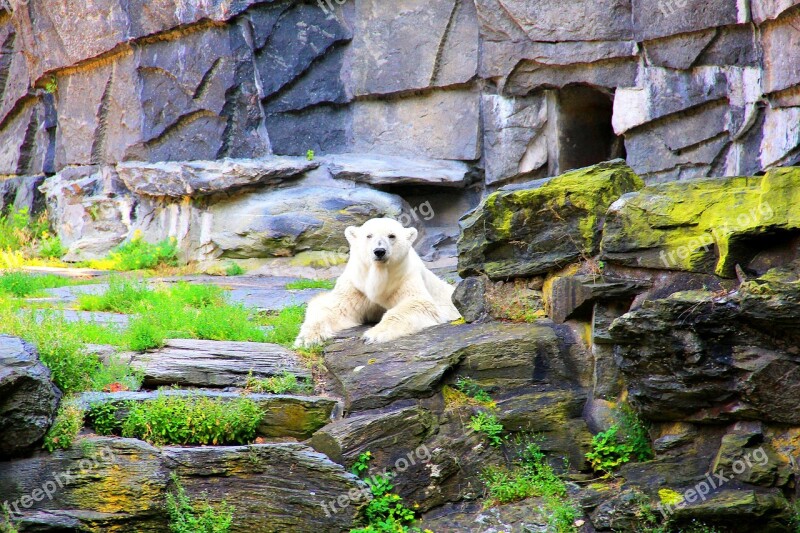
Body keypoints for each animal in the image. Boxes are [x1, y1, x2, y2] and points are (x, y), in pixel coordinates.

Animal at [294, 216, 460, 344]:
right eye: (369, 235)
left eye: (392, 235)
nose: (379, 251)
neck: (379, 275)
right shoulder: (356, 285)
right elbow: (334, 307)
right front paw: (307, 338)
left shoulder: (404, 278)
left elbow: (418, 303)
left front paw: (373, 334)